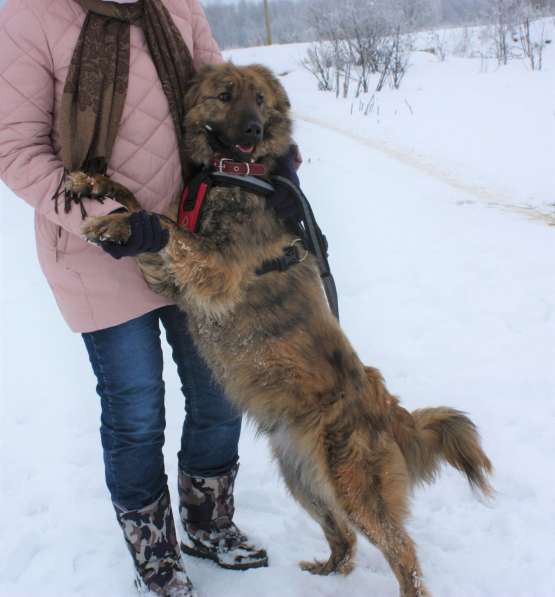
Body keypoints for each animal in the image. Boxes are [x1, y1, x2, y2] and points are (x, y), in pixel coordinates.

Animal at [75, 62, 496, 592]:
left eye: (260, 100)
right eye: (225, 95)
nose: (254, 130)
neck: (234, 175)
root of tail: (386, 406)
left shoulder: (214, 270)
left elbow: (163, 224)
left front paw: (113, 222)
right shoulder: (169, 278)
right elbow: (149, 212)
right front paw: (98, 188)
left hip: (355, 484)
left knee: (403, 552)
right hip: (305, 479)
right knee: (345, 538)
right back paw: (326, 571)